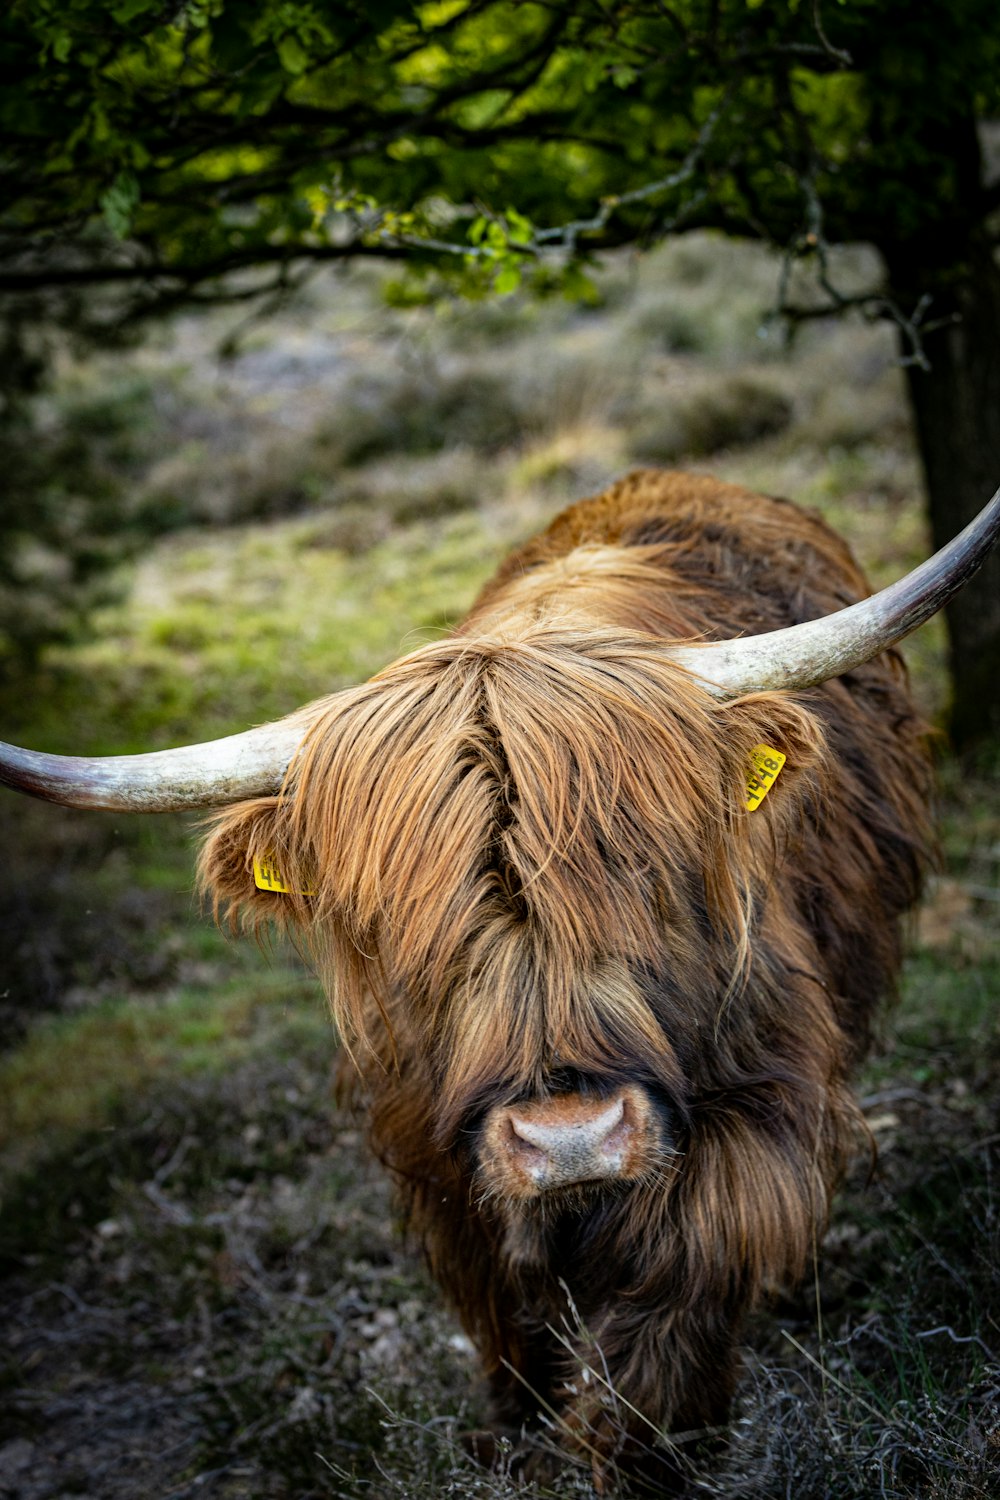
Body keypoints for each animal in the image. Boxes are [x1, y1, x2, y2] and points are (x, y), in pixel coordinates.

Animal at [1, 471, 1000, 1488]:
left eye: (642, 869)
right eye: (406, 920)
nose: (570, 1139)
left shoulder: (757, 1104)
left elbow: (682, 1289)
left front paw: (650, 1456)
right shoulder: (435, 1151)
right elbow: (508, 1313)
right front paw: (515, 1440)